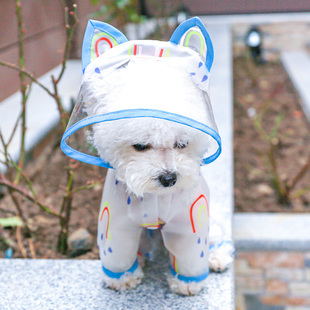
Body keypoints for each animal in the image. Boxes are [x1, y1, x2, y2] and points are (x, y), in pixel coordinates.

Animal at [61, 17, 234, 296]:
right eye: (140, 145)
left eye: (182, 144)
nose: (169, 178)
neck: (155, 197)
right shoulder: (116, 221)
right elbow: (118, 253)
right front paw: (122, 279)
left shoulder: (189, 220)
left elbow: (190, 252)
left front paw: (187, 284)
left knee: (216, 236)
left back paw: (216, 257)